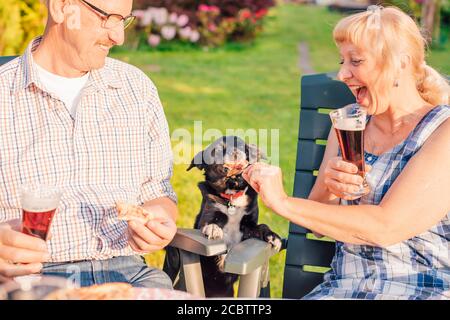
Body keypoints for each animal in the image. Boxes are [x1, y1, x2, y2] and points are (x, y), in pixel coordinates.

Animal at [187, 136, 282, 298]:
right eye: (218, 149)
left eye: (241, 145)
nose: (235, 153)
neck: (231, 198)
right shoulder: (207, 216)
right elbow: (210, 223)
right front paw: (213, 228)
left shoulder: (248, 228)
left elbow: (261, 226)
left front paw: (272, 236)